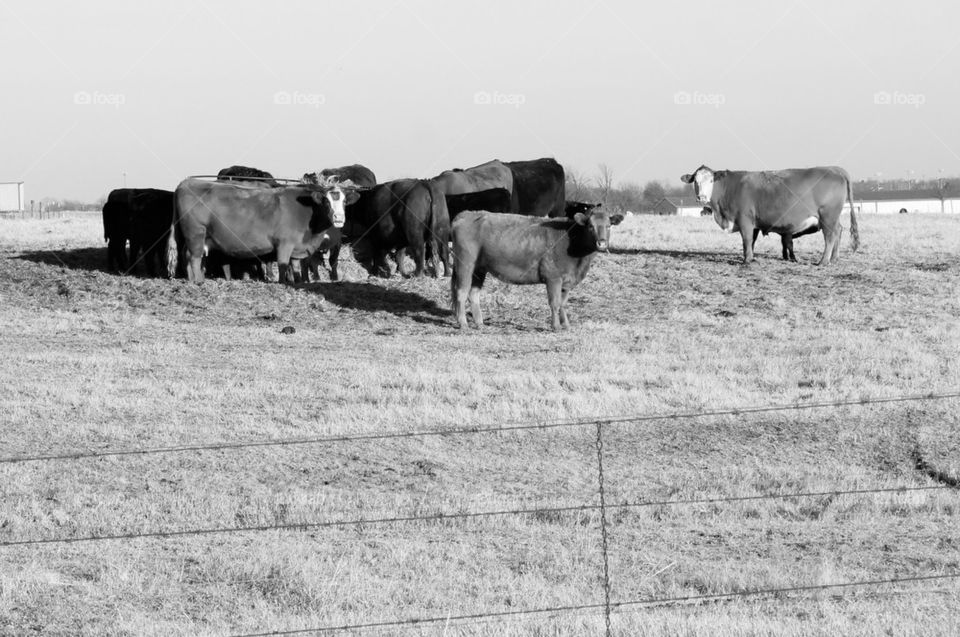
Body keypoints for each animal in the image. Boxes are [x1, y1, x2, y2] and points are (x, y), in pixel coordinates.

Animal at [169, 175, 352, 282]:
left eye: (344, 201)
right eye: (327, 201)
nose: (339, 218)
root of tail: (186, 182)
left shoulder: (297, 247)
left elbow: (296, 267)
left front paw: (296, 282)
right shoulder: (285, 244)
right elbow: (283, 265)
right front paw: (283, 283)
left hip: (192, 236)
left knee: (186, 254)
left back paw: (191, 279)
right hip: (196, 233)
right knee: (194, 256)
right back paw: (199, 281)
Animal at [450, 209, 624, 330]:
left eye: (609, 226)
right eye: (590, 226)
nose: (602, 243)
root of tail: (466, 214)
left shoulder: (566, 281)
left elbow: (563, 303)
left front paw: (566, 325)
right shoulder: (553, 278)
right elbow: (554, 303)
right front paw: (556, 326)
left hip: (479, 268)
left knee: (474, 294)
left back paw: (479, 323)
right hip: (465, 264)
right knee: (461, 292)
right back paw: (463, 324)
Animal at [680, 165, 860, 264]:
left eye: (711, 181)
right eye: (696, 181)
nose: (702, 197)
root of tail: (834, 170)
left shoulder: (745, 220)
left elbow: (746, 240)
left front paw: (746, 261)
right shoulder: (754, 224)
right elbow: (751, 242)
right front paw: (751, 257)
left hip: (827, 217)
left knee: (830, 236)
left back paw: (823, 261)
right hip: (832, 217)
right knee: (839, 231)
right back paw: (834, 259)